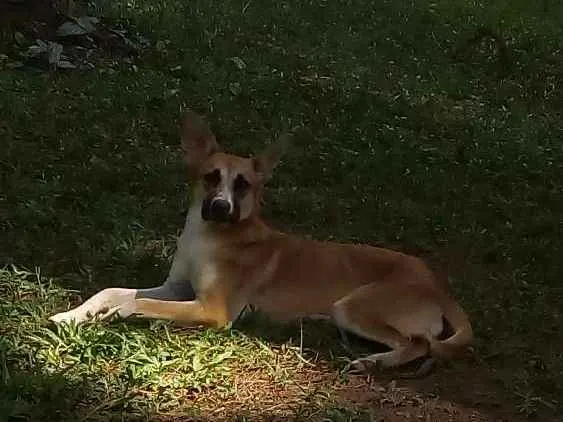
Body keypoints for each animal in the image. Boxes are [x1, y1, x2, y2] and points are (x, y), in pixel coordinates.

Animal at [48, 113, 474, 372]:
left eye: (243, 184)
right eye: (210, 176)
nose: (220, 207)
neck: (209, 237)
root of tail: (438, 285)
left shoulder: (212, 310)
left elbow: (136, 303)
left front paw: (109, 316)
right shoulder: (177, 287)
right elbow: (111, 291)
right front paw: (71, 315)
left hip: (352, 307)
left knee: (419, 343)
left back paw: (375, 362)